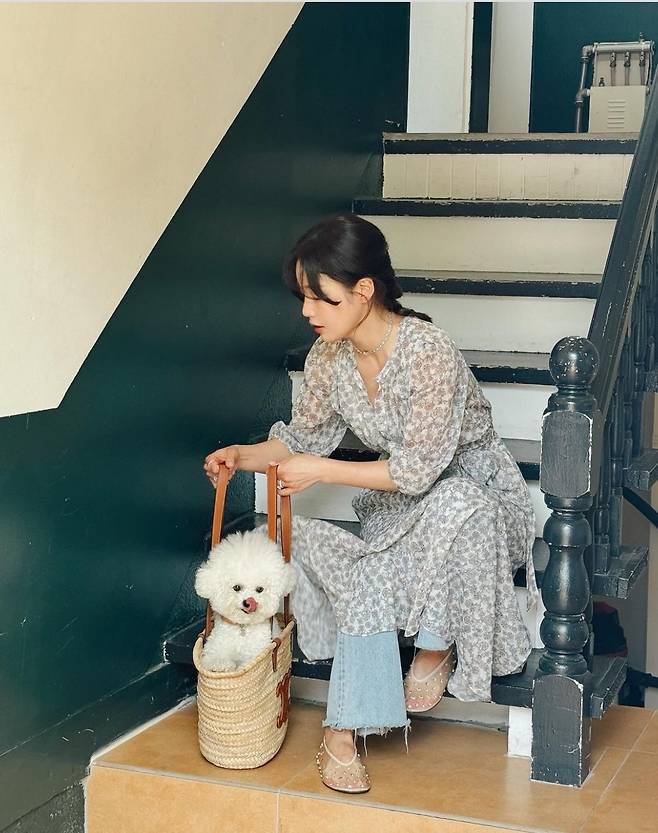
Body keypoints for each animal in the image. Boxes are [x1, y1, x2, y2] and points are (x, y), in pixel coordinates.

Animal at [194, 527, 295, 672]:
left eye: (260, 589)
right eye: (236, 587)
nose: (249, 602)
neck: (243, 628)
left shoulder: (257, 652)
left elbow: (246, 664)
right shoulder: (215, 646)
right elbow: (213, 659)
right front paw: (222, 666)